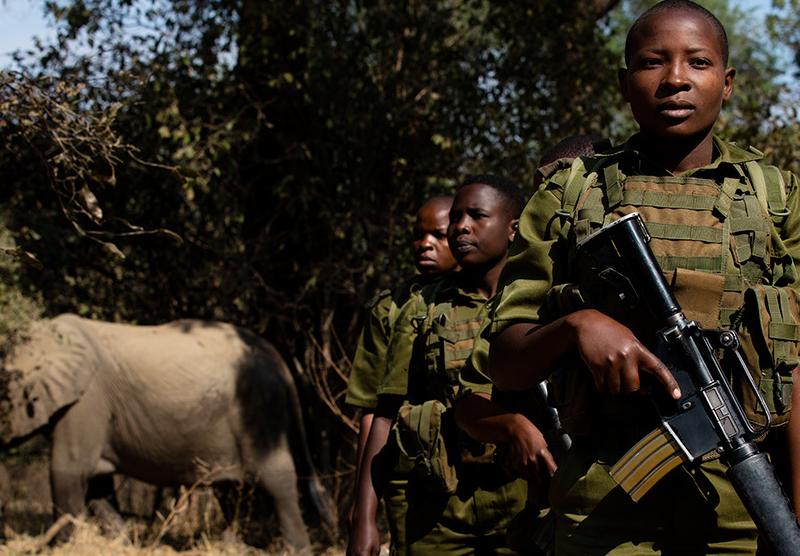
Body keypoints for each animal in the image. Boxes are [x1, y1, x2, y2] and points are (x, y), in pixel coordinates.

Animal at [0, 313, 333, 552]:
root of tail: (280, 361)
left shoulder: (85, 402)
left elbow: (67, 471)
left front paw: (62, 547)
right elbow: (96, 484)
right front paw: (123, 544)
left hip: (258, 408)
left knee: (275, 479)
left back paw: (294, 551)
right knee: (232, 490)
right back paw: (228, 548)